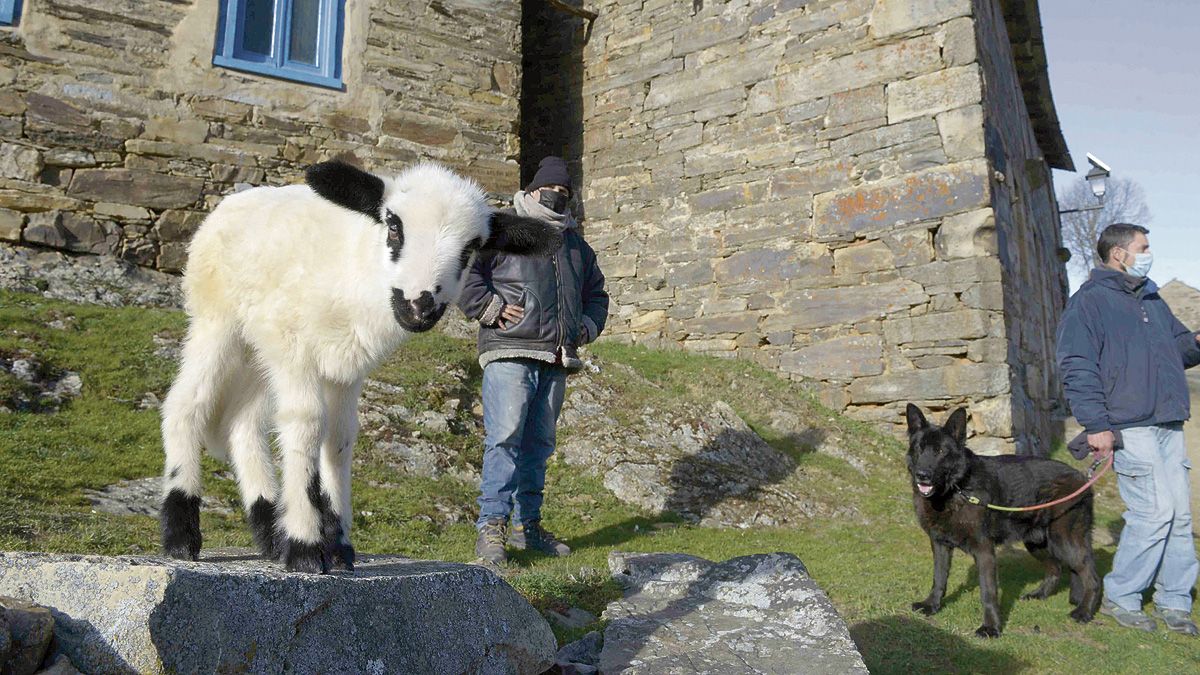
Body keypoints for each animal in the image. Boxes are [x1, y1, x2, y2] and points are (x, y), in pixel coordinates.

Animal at [159, 159, 556, 569]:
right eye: (393, 225)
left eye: (472, 247)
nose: (420, 305)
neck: (352, 273)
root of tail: (231, 204)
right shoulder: (294, 345)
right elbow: (306, 423)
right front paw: (305, 548)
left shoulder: (346, 368)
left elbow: (340, 437)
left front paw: (337, 548)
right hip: (217, 318)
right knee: (186, 404)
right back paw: (182, 536)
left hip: (259, 352)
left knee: (243, 424)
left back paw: (271, 535)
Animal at [907, 403, 1099, 634]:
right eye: (919, 449)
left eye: (941, 451)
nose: (922, 475)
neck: (956, 490)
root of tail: (1082, 478)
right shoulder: (940, 545)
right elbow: (939, 578)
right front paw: (932, 605)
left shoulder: (984, 551)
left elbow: (988, 592)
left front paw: (991, 627)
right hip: (1037, 543)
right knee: (1056, 569)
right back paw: (1040, 595)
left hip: (1064, 541)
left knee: (1092, 577)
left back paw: (1084, 612)